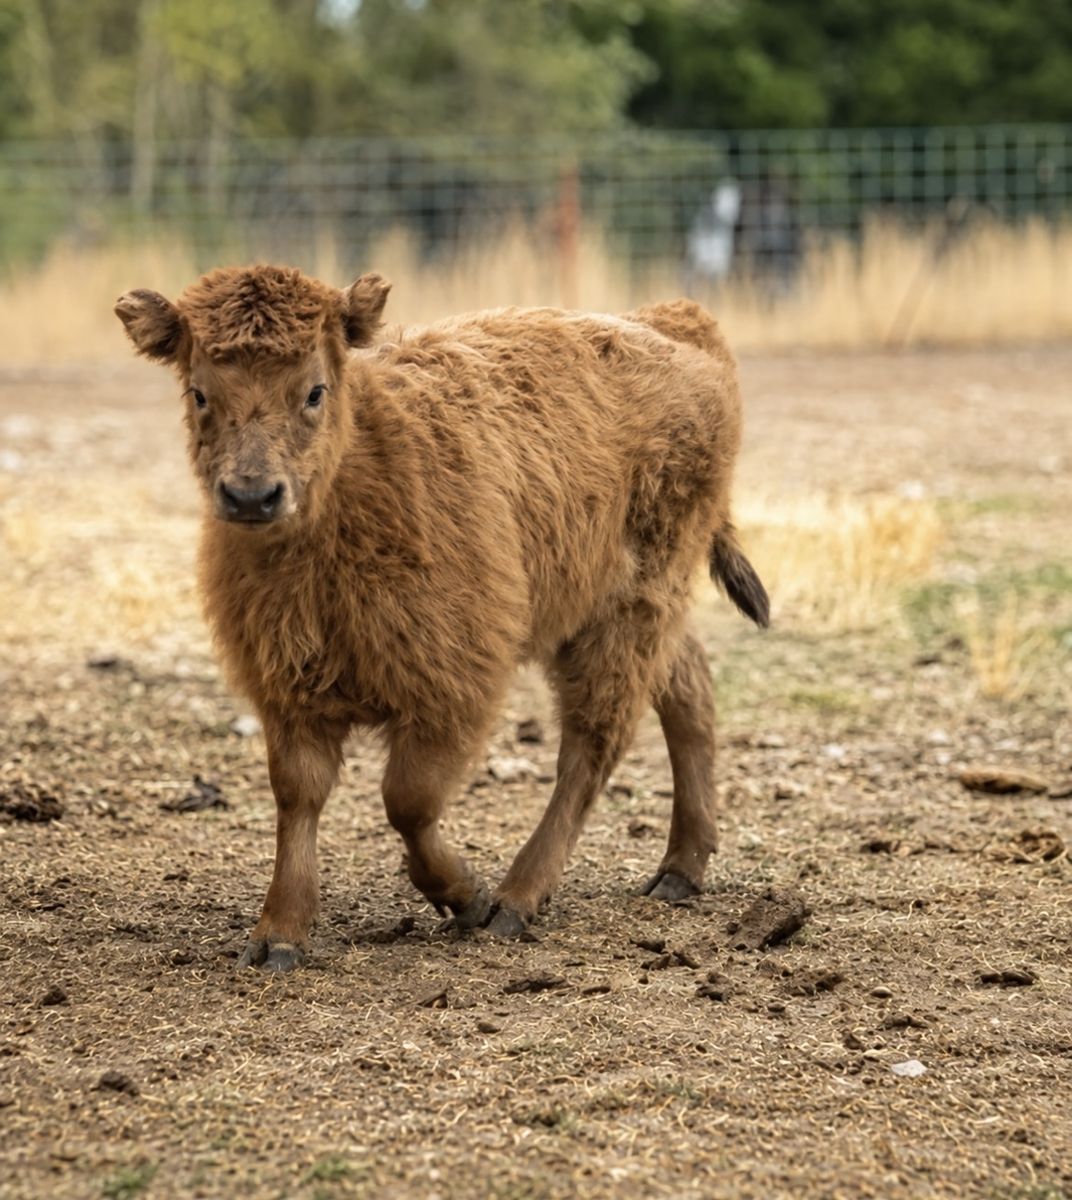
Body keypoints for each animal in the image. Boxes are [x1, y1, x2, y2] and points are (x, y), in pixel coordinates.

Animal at [114, 265, 769, 971]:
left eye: (314, 390)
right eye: (199, 392)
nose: (251, 496)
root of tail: (677, 325)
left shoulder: (450, 688)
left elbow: (407, 800)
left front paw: (466, 897)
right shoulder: (288, 691)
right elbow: (298, 796)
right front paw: (278, 934)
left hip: (625, 613)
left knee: (592, 745)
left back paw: (516, 899)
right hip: (620, 609)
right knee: (687, 687)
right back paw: (680, 869)